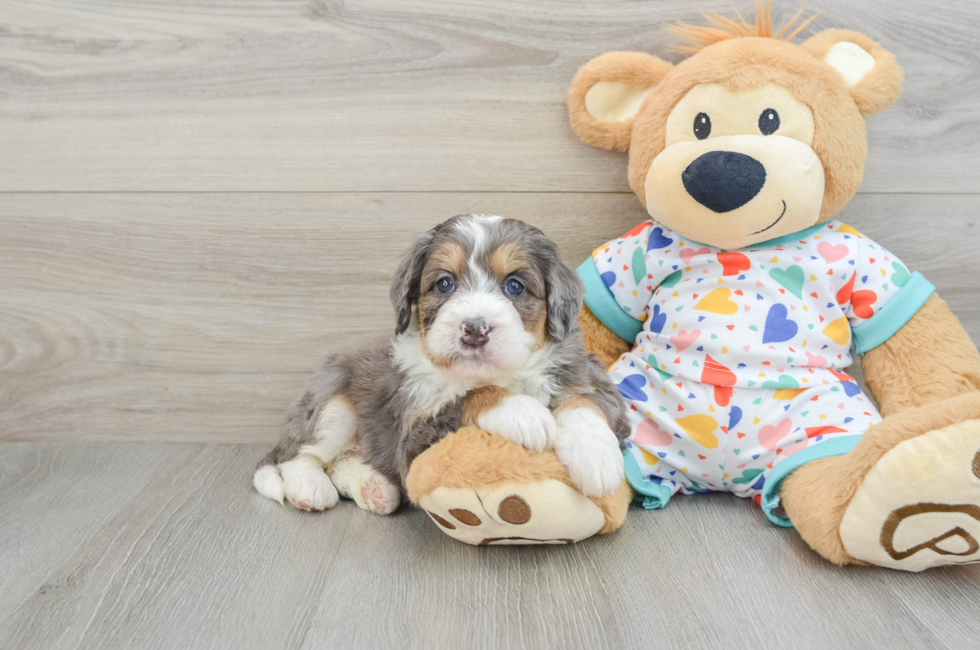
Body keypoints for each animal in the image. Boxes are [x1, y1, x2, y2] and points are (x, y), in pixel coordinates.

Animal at [253, 215, 628, 512]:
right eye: (445, 283)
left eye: (514, 286)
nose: (474, 329)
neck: (502, 374)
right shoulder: (415, 434)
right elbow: (468, 396)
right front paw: (525, 413)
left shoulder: (586, 372)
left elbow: (585, 400)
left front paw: (597, 459)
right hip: (331, 404)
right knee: (296, 455)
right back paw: (309, 488)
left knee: (342, 461)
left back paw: (376, 490)